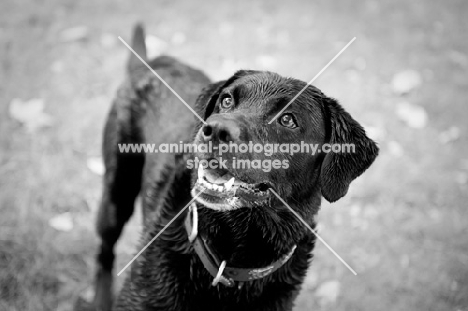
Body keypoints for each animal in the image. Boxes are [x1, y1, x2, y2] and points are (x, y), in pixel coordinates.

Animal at [90, 25, 376, 311]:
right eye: (227, 101)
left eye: (287, 119)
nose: (216, 130)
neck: (237, 255)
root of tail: (153, 62)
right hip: (117, 193)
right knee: (105, 251)